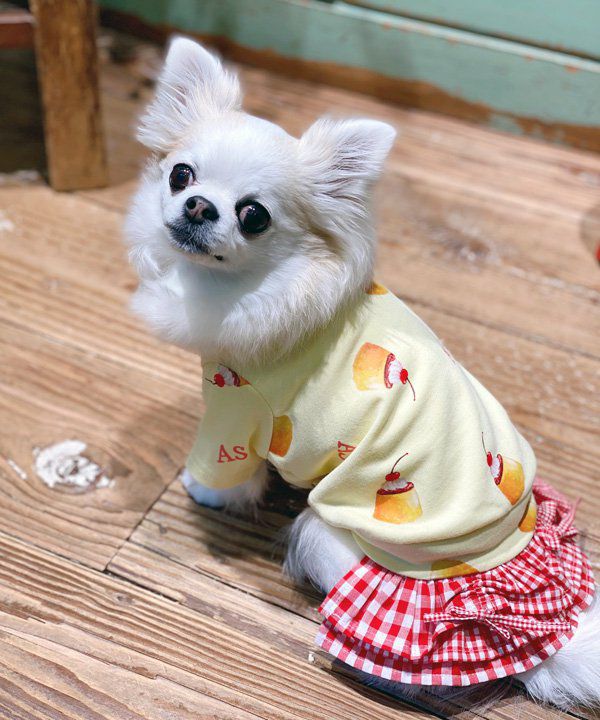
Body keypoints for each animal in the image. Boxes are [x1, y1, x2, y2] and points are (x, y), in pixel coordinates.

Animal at [125, 37, 599, 709]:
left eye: (253, 216)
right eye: (180, 175)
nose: (196, 204)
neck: (252, 289)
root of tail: (546, 635)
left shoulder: (236, 408)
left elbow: (227, 471)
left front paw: (204, 491)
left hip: (328, 536)